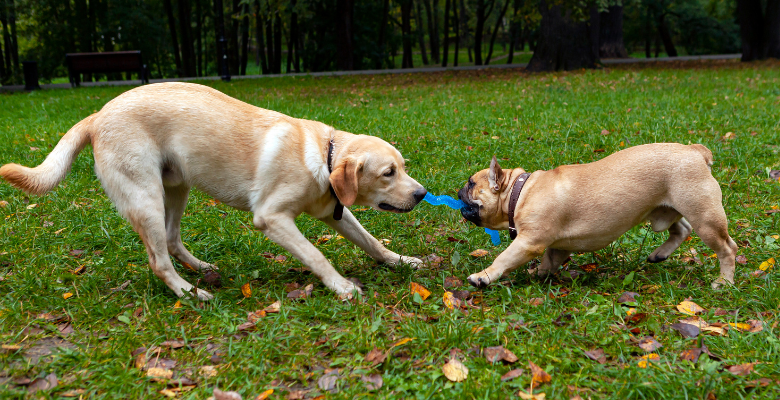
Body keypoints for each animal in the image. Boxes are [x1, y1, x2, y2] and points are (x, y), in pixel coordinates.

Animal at [0, 82, 426, 300]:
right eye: (388, 173)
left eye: (403, 166)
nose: (422, 194)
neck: (324, 154)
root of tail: (97, 114)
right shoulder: (272, 219)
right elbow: (316, 255)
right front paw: (340, 286)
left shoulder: (335, 212)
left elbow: (372, 242)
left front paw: (402, 261)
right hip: (145, 198)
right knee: (158, 260)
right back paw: (189, 293)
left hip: (177, 189)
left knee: (171, 241)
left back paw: (203, 270)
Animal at [458, 144, 736, 290]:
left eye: (471, 183)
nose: (459, 190)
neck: (520, 191)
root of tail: (695, 150)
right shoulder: (554, 245)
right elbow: (550, 260)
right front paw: (540, 275)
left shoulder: (529, 242)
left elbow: (504, 259)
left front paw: (483, 276)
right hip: (669, 208)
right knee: (681, 229)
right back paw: (660, 254)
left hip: (704, 215)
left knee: (727, 248)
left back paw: (724, 281)